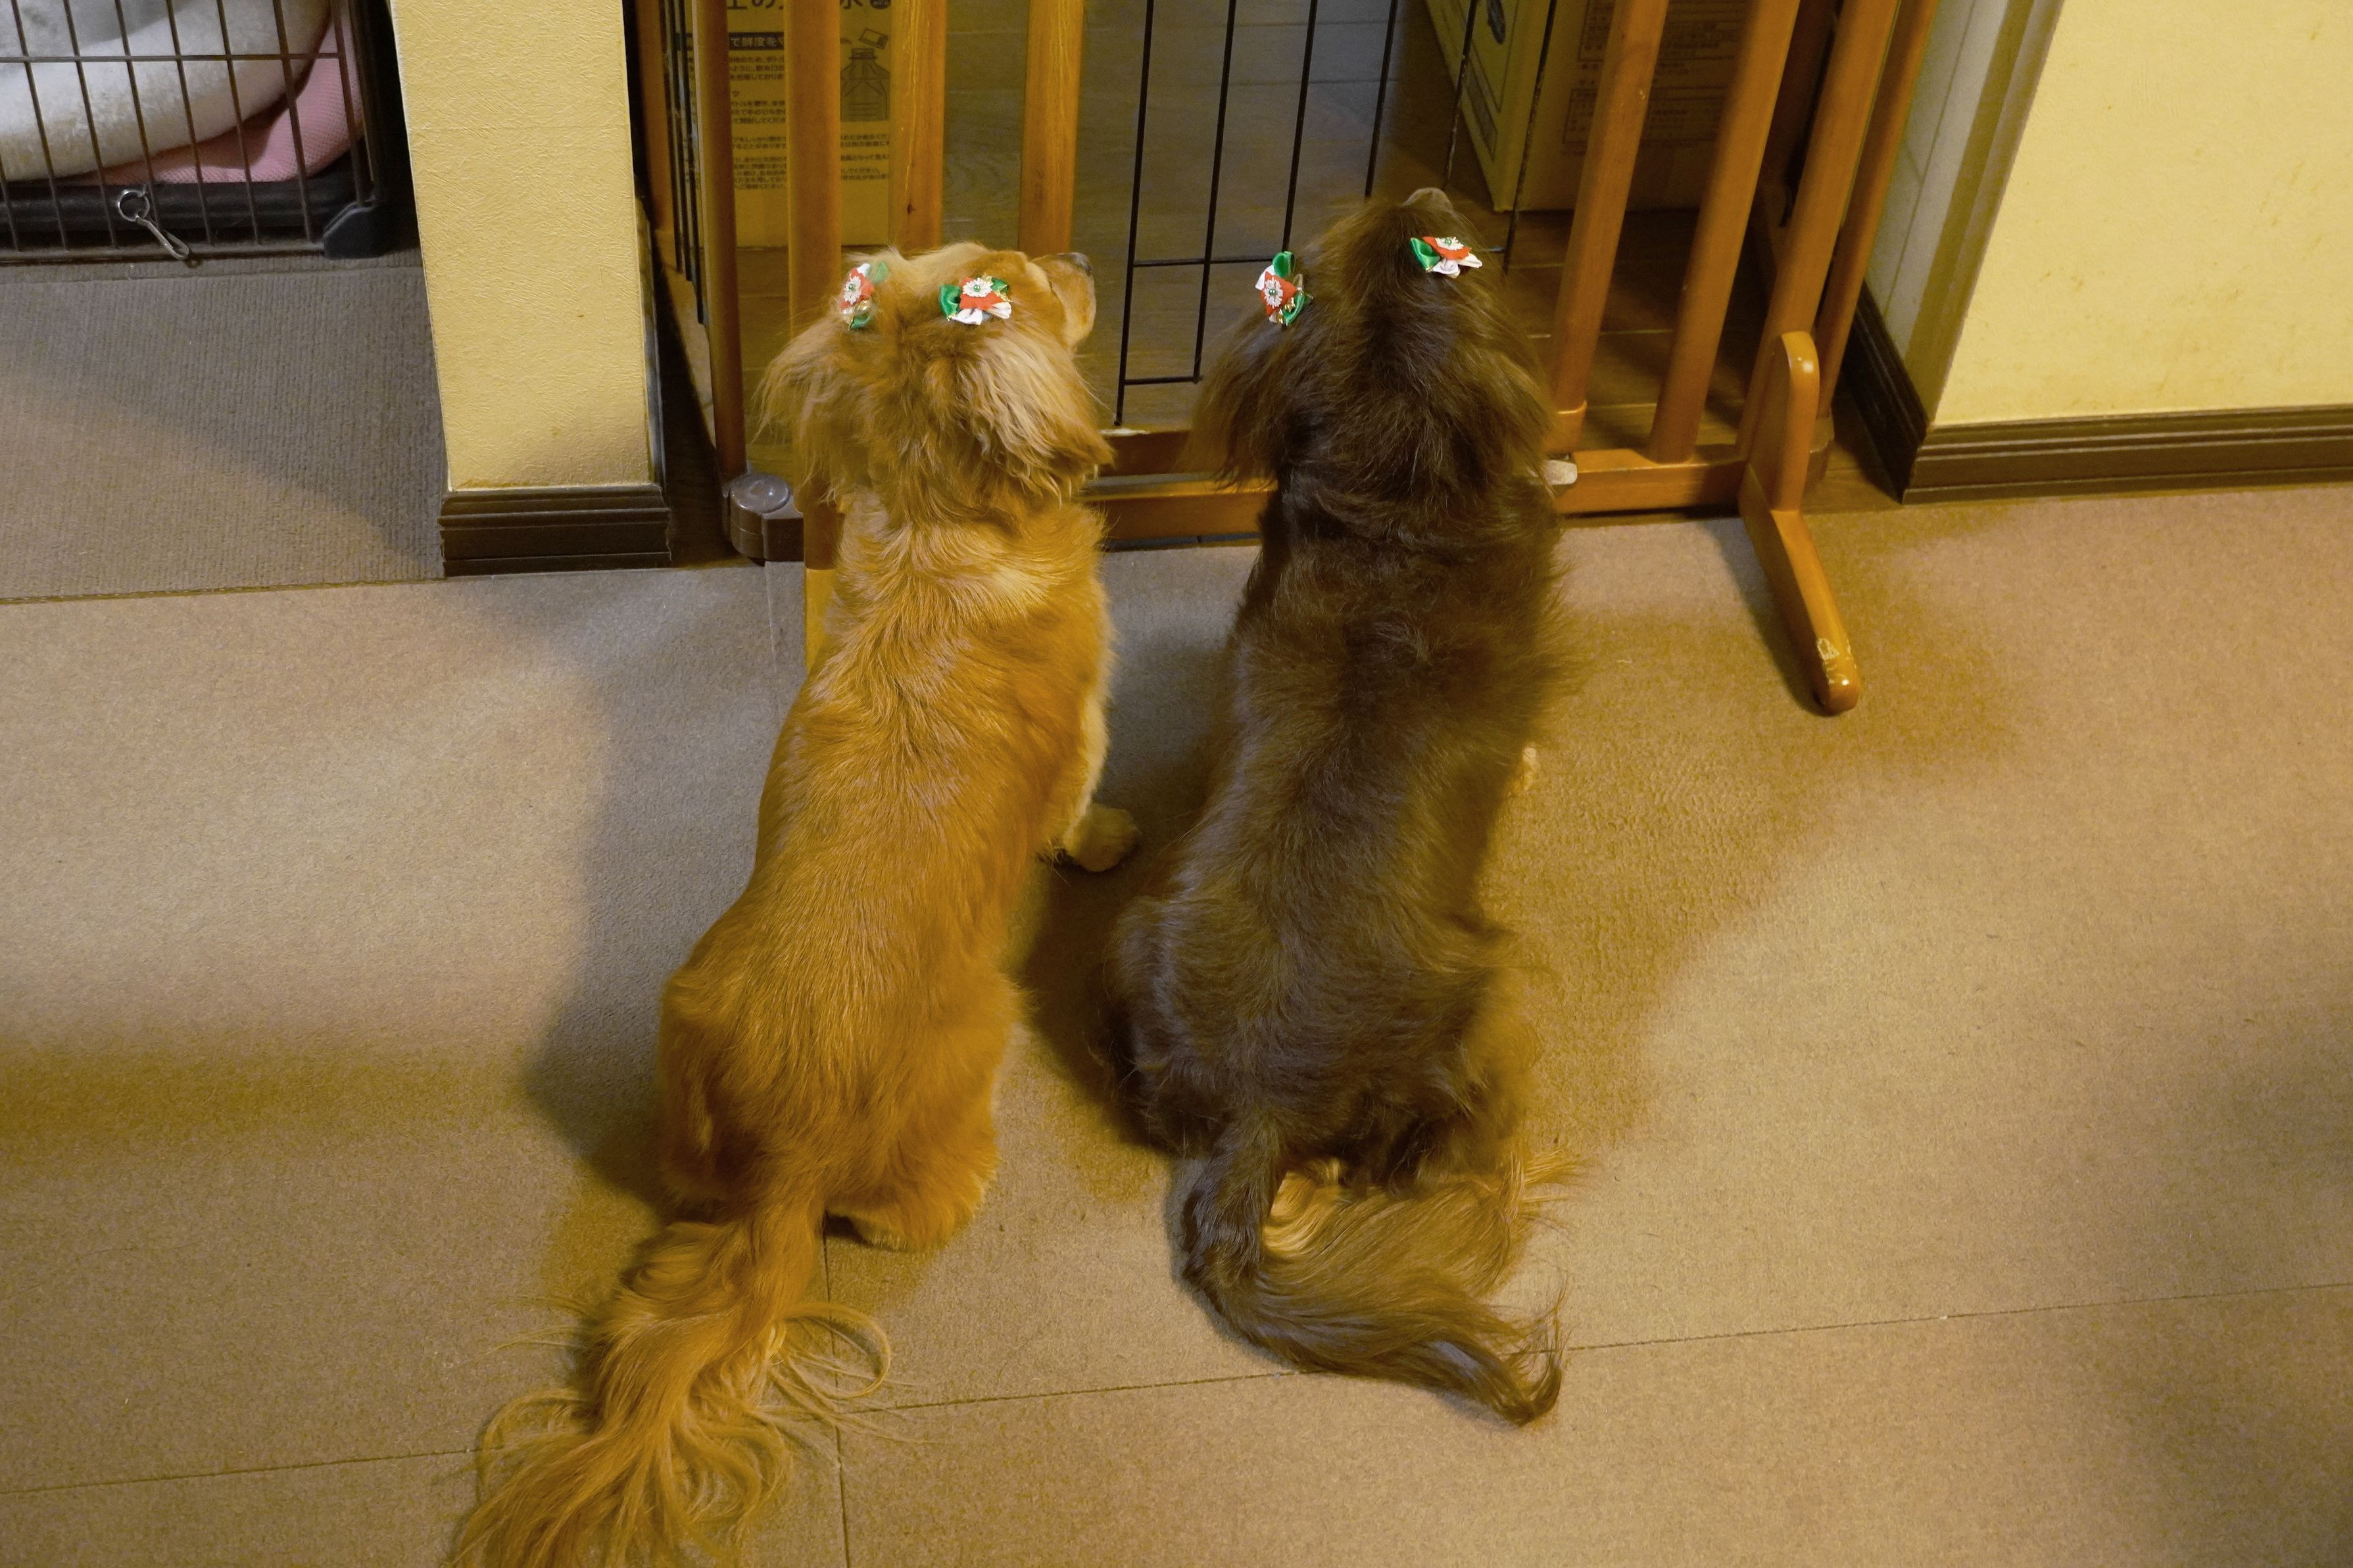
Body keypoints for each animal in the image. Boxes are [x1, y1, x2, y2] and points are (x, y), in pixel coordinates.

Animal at [457, 242, 1138, 1568]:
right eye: (1032, 276)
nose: (1082, 255)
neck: (938, 529)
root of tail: (789, 1161)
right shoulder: (1086, 727)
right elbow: (1079, 807)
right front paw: (1106, 842)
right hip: (982, 1039)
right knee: (904, 1210)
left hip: (682, 1023)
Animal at [1104, 192, 1567, 1424]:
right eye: (1426, 239)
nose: (1422, 193)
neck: (1395, 518)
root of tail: (1261, 1108)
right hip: (1490, 999)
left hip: (1131, 929)